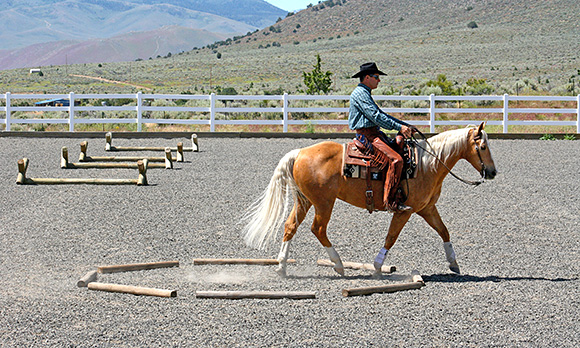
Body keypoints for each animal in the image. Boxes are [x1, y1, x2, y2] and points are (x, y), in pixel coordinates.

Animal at [242, 122, 496, 278]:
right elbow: (391, 237)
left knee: (290, 226)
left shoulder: (427, 208)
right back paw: (338, 265)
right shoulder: (404, 210)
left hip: (304, 200)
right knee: (318, 229)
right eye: (483, 146)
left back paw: (282, 268)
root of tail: (300, 152)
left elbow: (444, 231)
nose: (492, 172)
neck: (426, 164)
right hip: (324, 202)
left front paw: (453, 263)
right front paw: (377, 266)